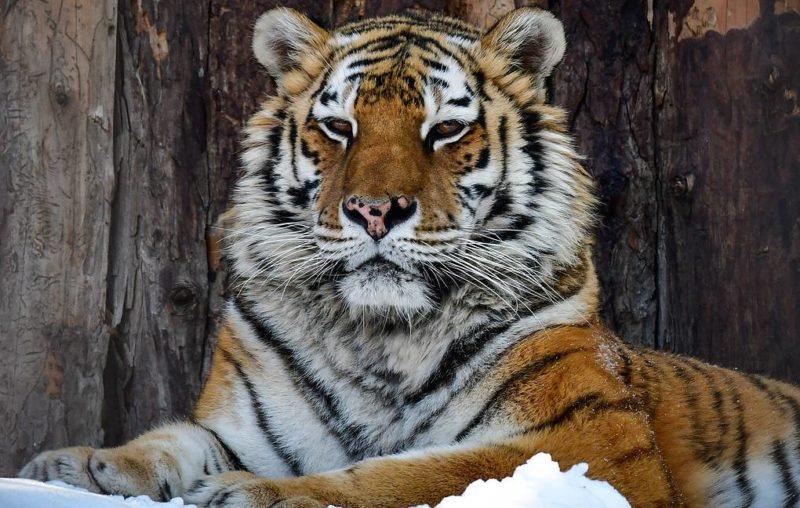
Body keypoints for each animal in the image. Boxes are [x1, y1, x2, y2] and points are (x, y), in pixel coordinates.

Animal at [15, 6, 800, 508]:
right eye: (339, 126)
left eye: (445, 130)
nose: (374, 211)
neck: (379, 334)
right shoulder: (247, 426)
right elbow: (169, 441)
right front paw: (73, 467)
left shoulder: (589, 442)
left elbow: (417, 474)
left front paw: (257, 496)